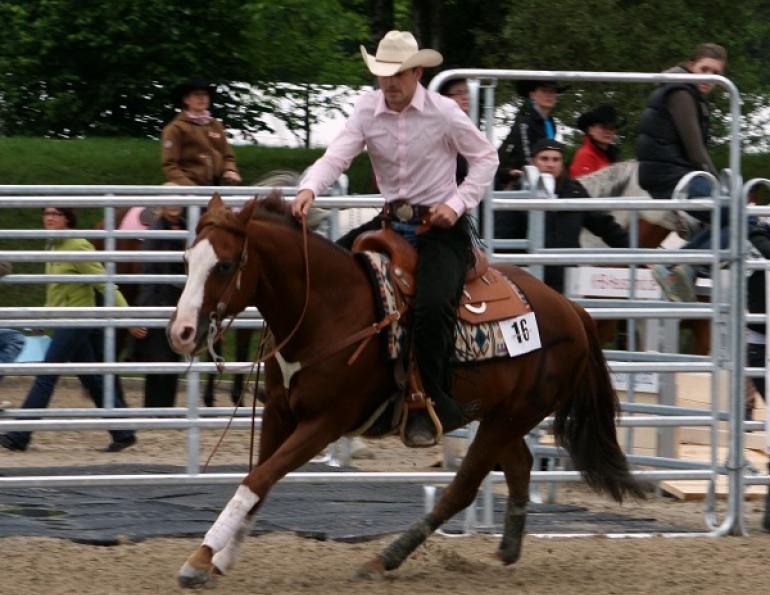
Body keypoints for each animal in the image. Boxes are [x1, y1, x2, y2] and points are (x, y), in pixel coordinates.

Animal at [166, 192, 645, 588]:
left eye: (225, 264)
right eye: (188, 259)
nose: (181, 333)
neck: (329, 308)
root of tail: (570, 309)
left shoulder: (323, 423)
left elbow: (258, 478)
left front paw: (200, 558)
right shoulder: (279, 413)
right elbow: (257, 483)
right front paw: (220, 558)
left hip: (513, 415)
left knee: (463, 488)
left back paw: (385, 558)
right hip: (502, 415)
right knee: (520, 465)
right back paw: (507, 549)